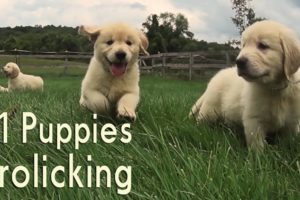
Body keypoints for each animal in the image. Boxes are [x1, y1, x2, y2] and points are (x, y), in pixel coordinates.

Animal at [191, 21, 300, 151]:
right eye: (244, 45)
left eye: (263, 45)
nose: (239, 62)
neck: (274, 88)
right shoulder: (254, 120)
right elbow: (257, 145)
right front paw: (258, 156)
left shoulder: (292, 122)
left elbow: (289, 141)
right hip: (210, 108)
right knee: (201, 120)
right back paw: (199, 131)